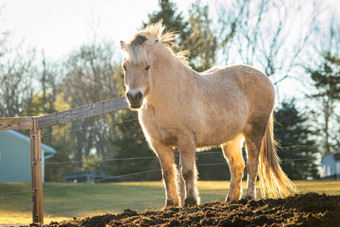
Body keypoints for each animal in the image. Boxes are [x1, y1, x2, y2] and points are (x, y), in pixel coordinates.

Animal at [120, 21, 298, 207]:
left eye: (147, 66)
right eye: (125, 67)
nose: (134, 97)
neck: (169, 93)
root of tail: (266, 79)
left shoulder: (186, 140)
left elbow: (187, 172)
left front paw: (190, 202)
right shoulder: (159, 144)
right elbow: (168, 174)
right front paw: (171, 205)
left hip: (255, 131)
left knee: (252, 164)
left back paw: (248, 198)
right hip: (232, 139)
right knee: (237, 166)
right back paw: (231, 200)